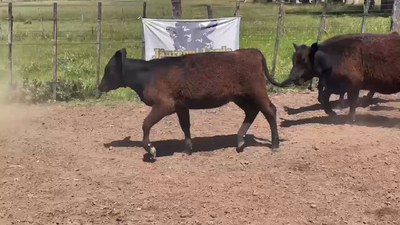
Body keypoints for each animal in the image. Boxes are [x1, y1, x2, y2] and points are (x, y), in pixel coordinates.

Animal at [97, 48, 284, 159]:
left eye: (108, 69)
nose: (99, 86)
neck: (148, 74)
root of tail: (252, 51)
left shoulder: (165, 105)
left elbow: (146, 124)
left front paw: (151, 150)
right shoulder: (181, 106)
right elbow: (185, 126)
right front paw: (187, 149)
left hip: (257, 91)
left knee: (270, 110)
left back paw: (275, 145)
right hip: (240, 96)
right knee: (252, 111)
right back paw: (239, 141)